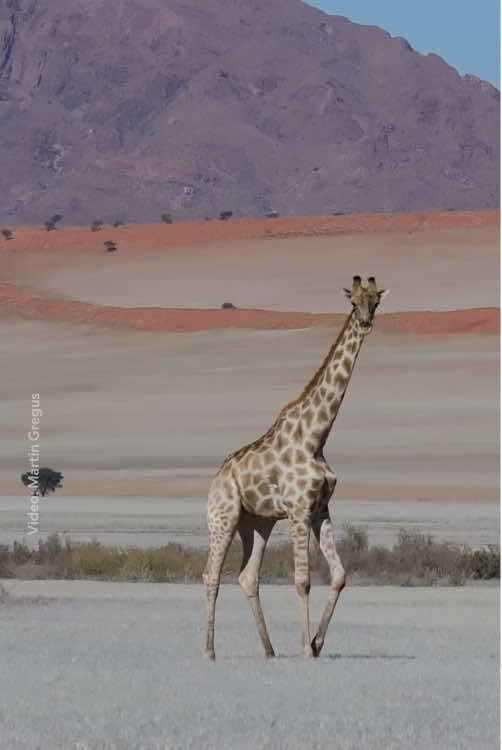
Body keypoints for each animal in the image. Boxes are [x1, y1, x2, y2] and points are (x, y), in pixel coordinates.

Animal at [203, 275, 389, 660]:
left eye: (375, 302)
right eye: (353, 304)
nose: (366, 324)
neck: (315, 437)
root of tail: (215, 479)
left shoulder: (320, 509)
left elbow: (339, 575)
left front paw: (317, 644)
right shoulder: (300, 509)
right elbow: (302, 581)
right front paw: (305, 648)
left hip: (257, 523)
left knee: (247, 575)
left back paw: (269, 650)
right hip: (223, 518)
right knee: (211, 575)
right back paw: (209, 652)